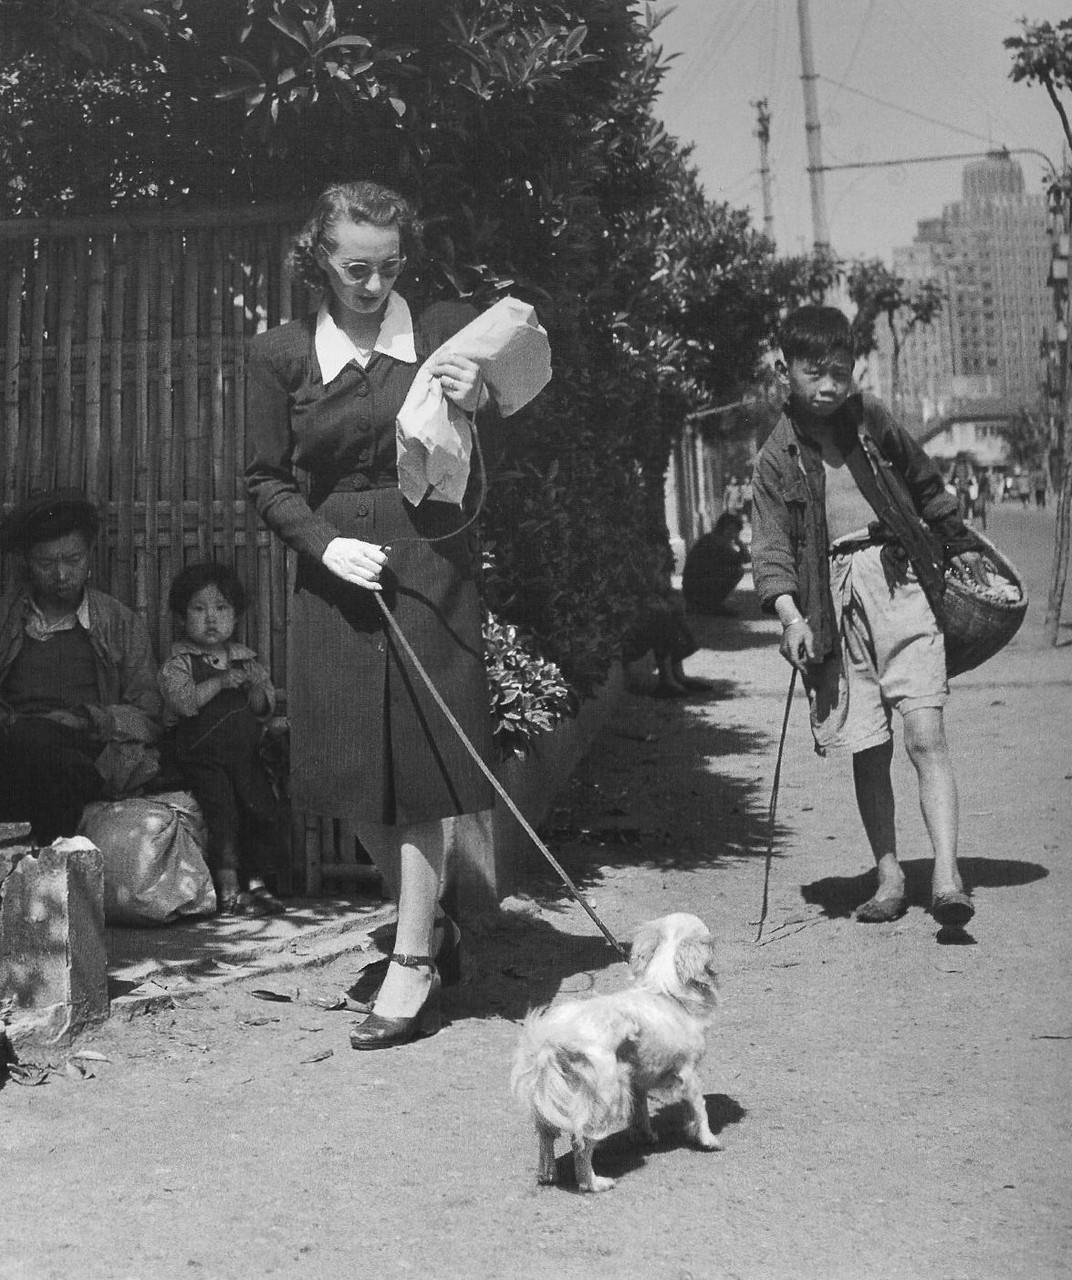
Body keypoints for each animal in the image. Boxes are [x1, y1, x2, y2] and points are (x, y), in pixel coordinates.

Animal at [511, 911, 721, 1187]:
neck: (665, 991)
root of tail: (553, 1039)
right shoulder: (688, 1073)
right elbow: (700, 1108)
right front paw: (708, 1140)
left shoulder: (637, 1079)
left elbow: (641, 1111)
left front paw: (645, 1136)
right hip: (606, 1099)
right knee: (581, 1144)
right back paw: (593, 1183)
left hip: (551, 1099)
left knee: (546, 1137)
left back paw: (548, 1174)